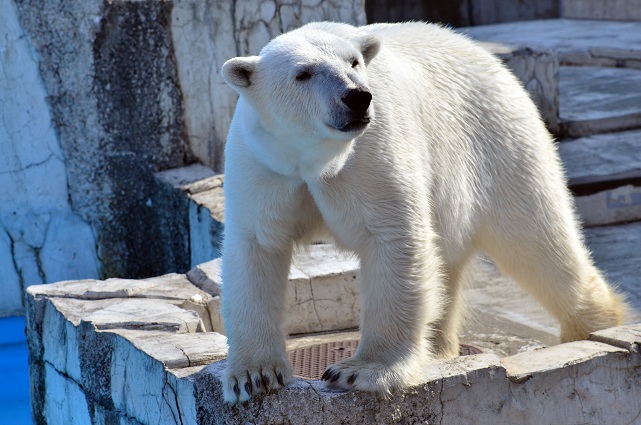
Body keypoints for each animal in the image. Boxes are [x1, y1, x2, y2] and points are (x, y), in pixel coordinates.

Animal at [220, 21, 624, 402]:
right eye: (302, 73)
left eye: (354, 62)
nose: (357, 97)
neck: (318, 160)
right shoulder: (264, 166)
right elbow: (256, 250)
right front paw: (253, 377)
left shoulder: (372, 155)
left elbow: (394, 238)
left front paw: (360, 371)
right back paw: (440, 348)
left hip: (497, 142)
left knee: (535, 241)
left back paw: (598, 325)